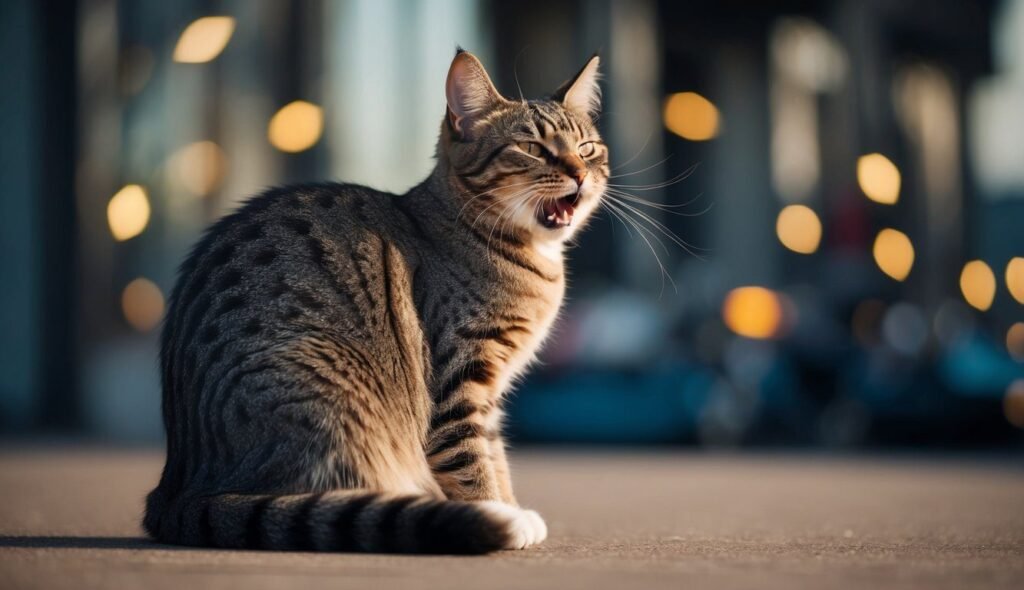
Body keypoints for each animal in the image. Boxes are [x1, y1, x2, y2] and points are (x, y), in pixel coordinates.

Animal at [144, 49, 606, 553]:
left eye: (587, 149)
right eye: (533, 149)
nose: (580, 174)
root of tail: (176, 490)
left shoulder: (489, 391)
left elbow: (493, 450)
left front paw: (510, 504)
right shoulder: (457, 379)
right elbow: (470, 458)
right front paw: (497, 513)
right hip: (329, 387)